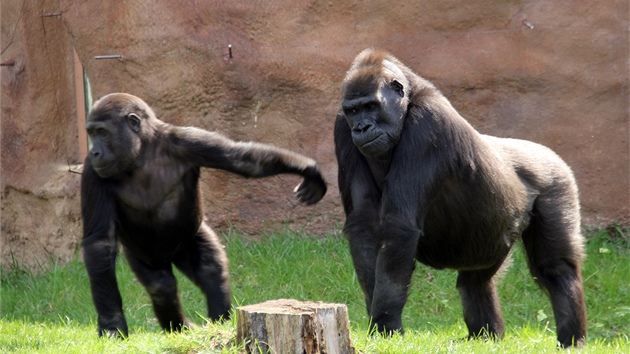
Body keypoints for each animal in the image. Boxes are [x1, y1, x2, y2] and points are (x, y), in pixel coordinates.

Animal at [82, 93, 328, 338]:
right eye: (92, 134)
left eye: (102, 132)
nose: (94, 152)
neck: (142, 151)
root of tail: (170, 256)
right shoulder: (91, 171)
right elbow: (100, 243)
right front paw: (112, 324)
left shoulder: (189, 141)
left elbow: (243, 160)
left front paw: (310, 170)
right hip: (138, 253)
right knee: (161, 286)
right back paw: (180, 327)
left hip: (190, 238)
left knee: (211, 269)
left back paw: (218, 321)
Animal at [336, 48, 588, 348]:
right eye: (353, 111)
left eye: (371, 106)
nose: (361, 127)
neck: (410, 100)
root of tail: (548, 153)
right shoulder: (341, 126)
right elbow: (364, 223)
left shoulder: (428, 125)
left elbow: (398, 228)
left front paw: (386, 324)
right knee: (475, 282)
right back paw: (486, 336)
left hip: (557, 180)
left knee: (556, 269)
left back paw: (572, 339)